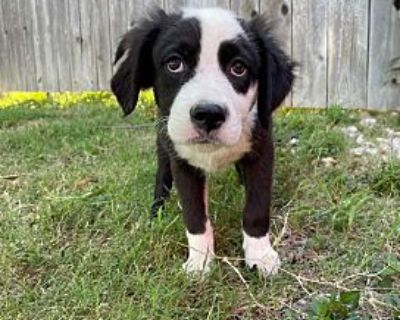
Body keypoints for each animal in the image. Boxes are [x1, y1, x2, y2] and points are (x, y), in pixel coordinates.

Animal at [111, 6, 296, 276]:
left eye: (238, 68)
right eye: (174, 63)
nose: (209, 115)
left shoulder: (261, 150)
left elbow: (257, 207)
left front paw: (260, 256)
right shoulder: (181, 161)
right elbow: (194, 214)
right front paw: (200, 262)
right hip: (163, 141)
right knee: (162, 175)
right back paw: (157, 211)